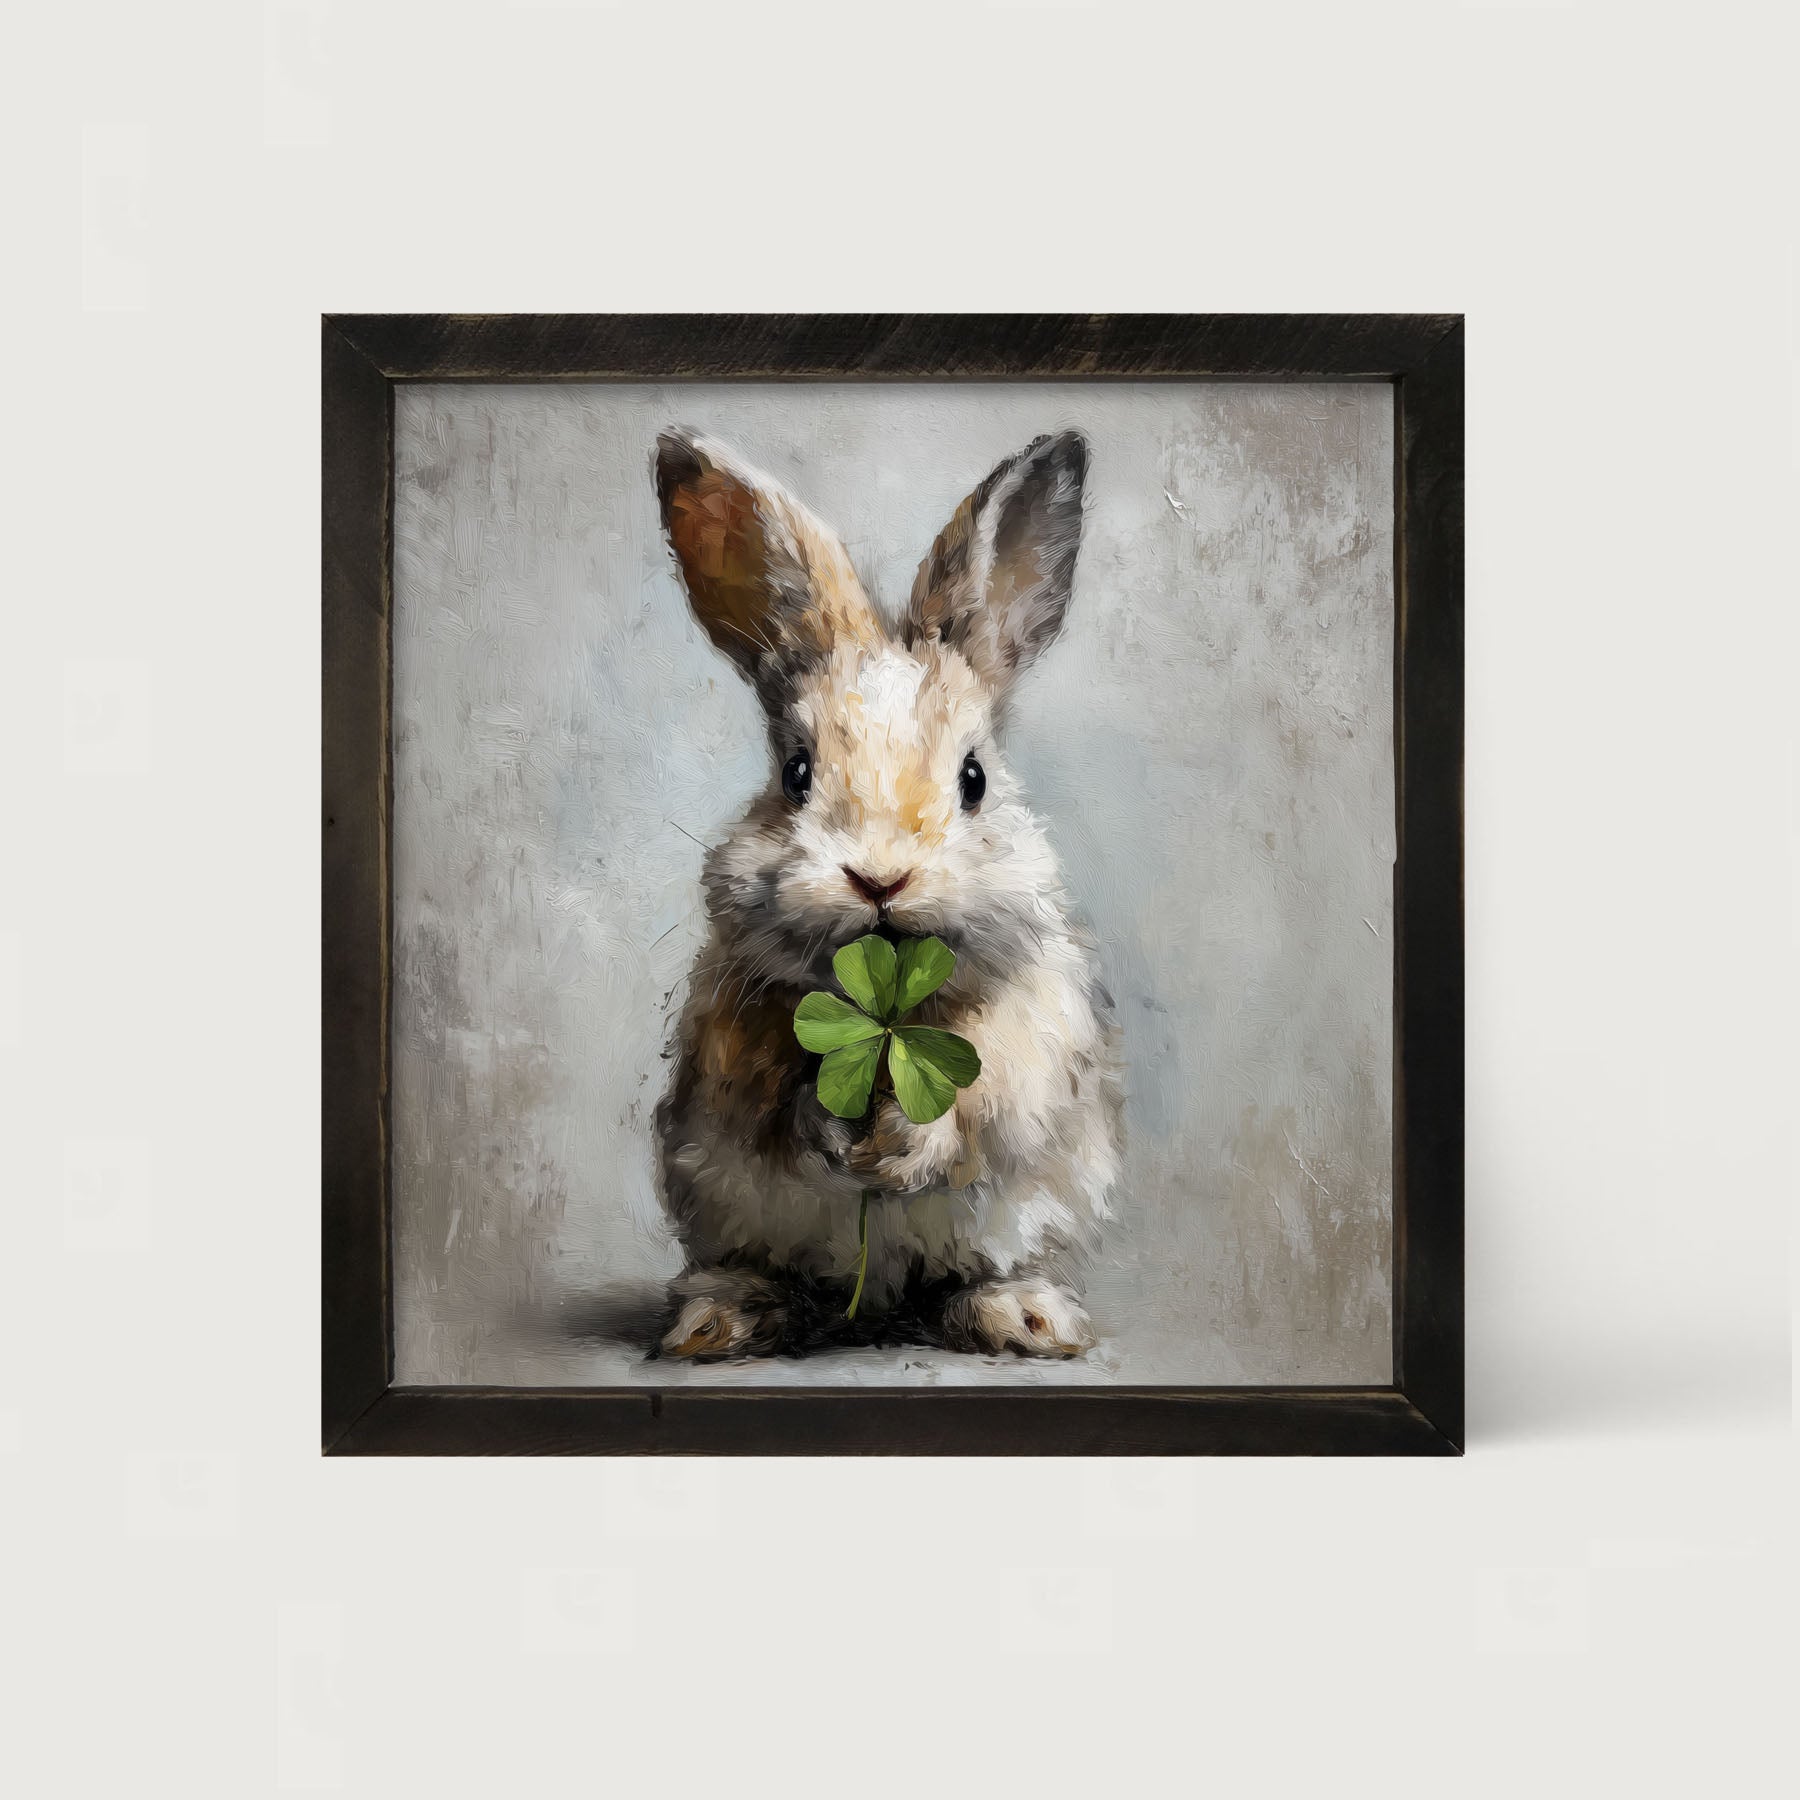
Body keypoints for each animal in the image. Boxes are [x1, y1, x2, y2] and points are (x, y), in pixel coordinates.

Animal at [650, 426, 1123, 1360]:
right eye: (795, 774)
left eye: (974, 778)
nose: (879, 877)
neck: (892, 1011)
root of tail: (878, 1303)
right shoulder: (733, 1041)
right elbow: (777, 1100)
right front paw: (839, 1136)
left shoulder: (1030, 1034)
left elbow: (982, 1096)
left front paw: (903, 1145)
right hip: (720, 1208)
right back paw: (721, 1320)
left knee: (978, 1273)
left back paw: (1026, 1317)